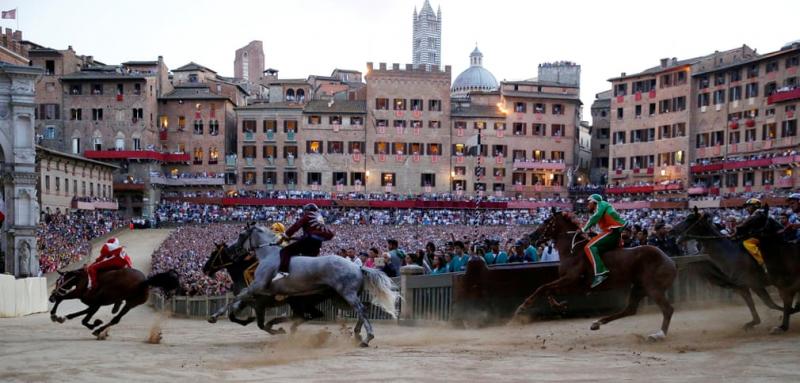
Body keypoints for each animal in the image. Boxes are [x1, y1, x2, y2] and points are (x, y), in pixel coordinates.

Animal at [51, 268, 180, 340]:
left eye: (59, 281)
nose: (50, 297)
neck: (84, 279)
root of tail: (144, 281)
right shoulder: (93, 304)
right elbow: (81, 314)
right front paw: (62, 317)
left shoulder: (92, 301)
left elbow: (82, 317)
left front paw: (54, 315)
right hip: (131, 303)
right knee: (116, 319)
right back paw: (100, 330)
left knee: (115, 319)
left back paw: (98, 330)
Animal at [203, 243, 338, 336]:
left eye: (213, 254)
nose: (204, 268)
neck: (242, 271)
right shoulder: (246, 300)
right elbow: (232, 316)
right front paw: (248, 319)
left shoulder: (258, 304)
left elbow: (261, 325)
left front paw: (277, 330)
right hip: (302, 303)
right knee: (309, 315)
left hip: (299, 302)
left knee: (303, 316)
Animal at [512, 208, 676, 344]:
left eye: (546, 222)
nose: (531, 236)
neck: (573, 251)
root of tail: (670, 261)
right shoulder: (572, 285)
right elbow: (548, 290)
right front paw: (560, 305)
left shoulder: (571, 281)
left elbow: (543, 287)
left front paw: (522, 307)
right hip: (639, 287)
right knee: (630, 309)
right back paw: (597, 323)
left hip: (653, 288)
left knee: (667, 309)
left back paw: (659, 335)